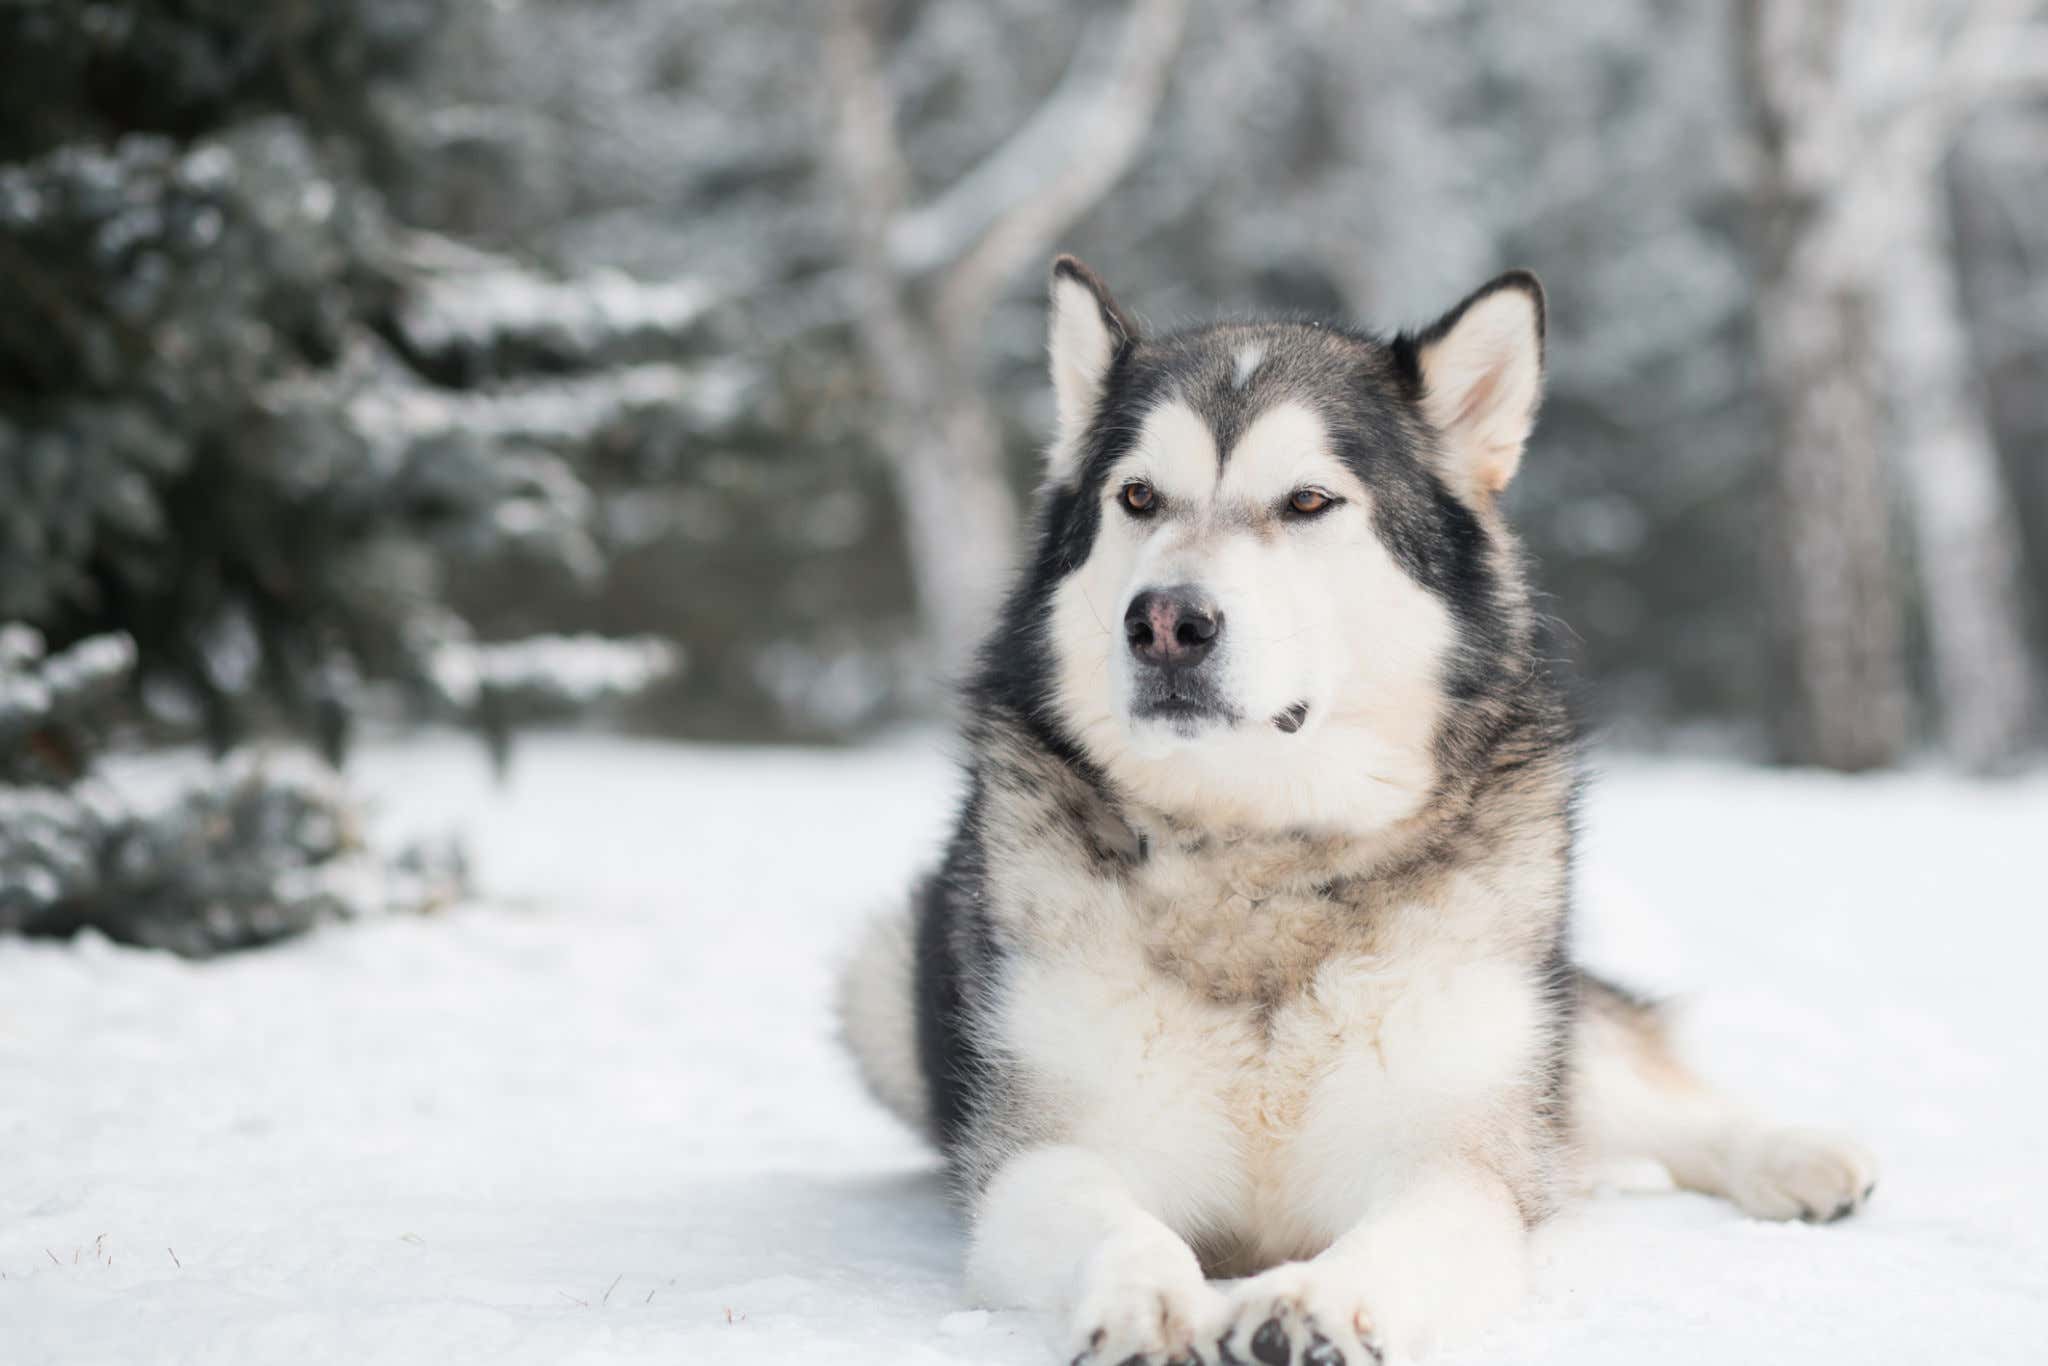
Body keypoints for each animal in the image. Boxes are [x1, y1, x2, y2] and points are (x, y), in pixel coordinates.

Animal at [831, 259, 1875, 1366]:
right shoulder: (1050, 1150)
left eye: (1308, 501)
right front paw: (1145, 1301)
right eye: (1138, 497)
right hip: (879, 978)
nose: (1164, 622)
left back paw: (1797, 1154)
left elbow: (1411, 1232)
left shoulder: (1454, 1149)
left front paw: (1318, 1301)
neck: (1259, 855)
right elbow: (1110, 1218)